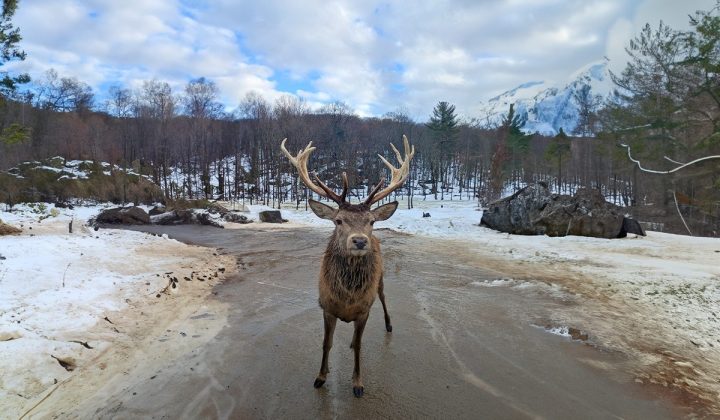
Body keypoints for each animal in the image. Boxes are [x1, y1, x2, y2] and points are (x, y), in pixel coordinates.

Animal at [282, 136, 416, 398]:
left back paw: (388, 325)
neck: (346, 299)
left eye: (371, 221)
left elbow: (360, 348)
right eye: (338, 220)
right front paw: (321, 377)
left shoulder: (364, 310)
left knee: (383, 298)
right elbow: (327, 343)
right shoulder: (326, 307)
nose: (360, 240)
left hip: (381, 280)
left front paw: (357, 383)